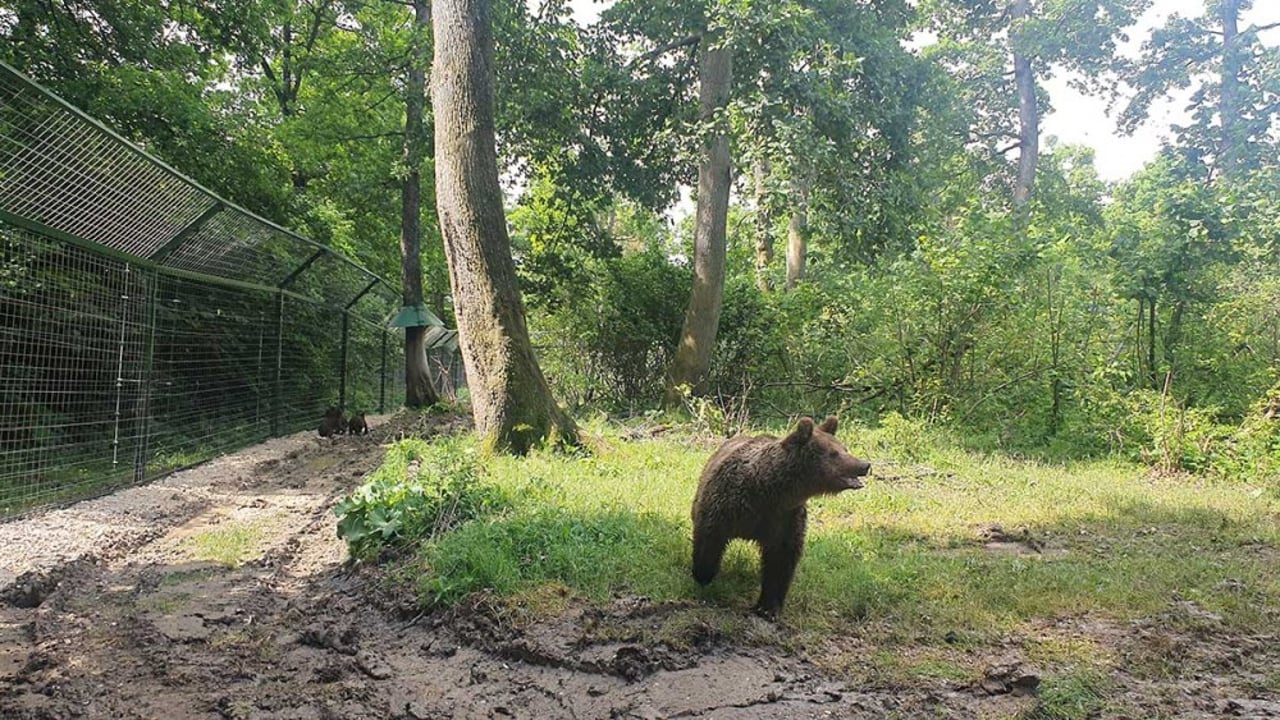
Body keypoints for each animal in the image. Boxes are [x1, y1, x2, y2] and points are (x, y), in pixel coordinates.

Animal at [691, 415, 870, 617]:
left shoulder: (785, 518)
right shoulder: (727, 506)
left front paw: (768, 607)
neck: (770, 491)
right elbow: (710, 538)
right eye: (834, 453)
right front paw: (703, 575)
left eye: (844, 448)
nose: (864, 465)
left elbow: (781, 560)